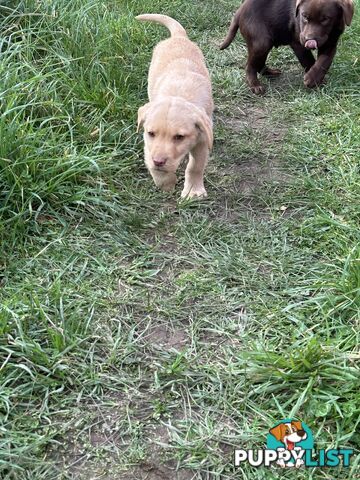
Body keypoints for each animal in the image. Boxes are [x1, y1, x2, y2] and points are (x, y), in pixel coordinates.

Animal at [136, 13, 212, 197]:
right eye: (151, 133)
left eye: (179, 137)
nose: (159, 161)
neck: (178, 94)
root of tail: (178, 37)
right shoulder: (148, 145)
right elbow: (154, 167)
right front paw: (166, 184)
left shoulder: (202, 140)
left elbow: (195, 166)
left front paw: (193, 191)